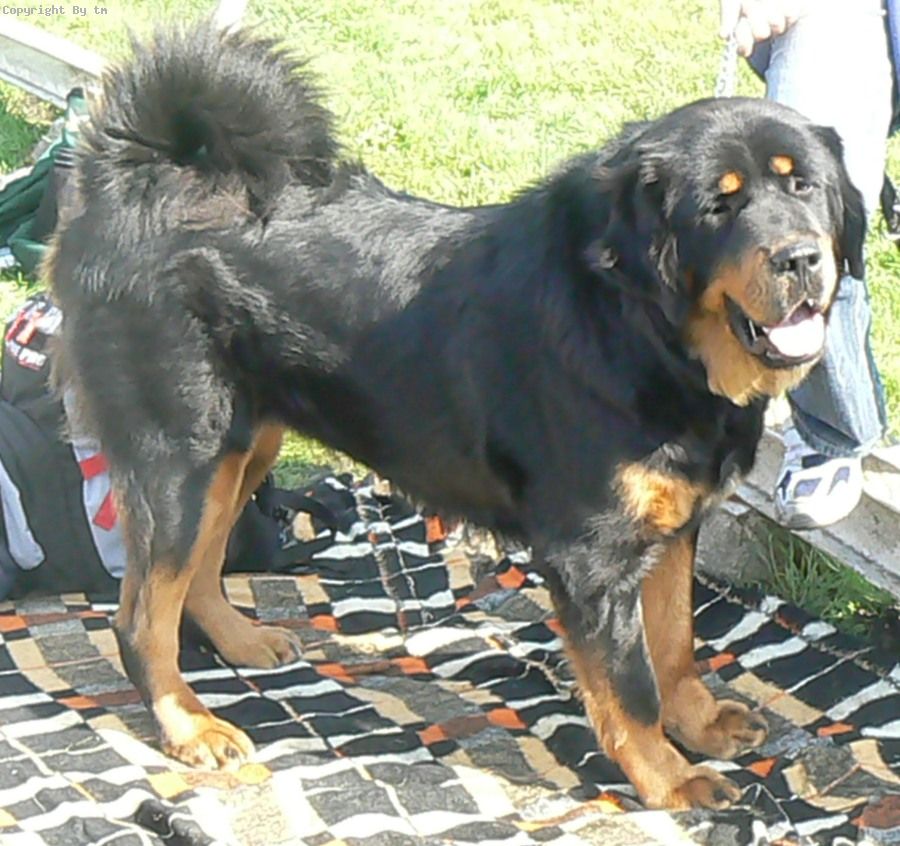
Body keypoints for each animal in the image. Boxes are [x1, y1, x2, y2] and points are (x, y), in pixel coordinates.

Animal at [47, 24, 864, 809]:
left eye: (805, 186)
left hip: (241, 449)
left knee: (200, 571)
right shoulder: (593, 556)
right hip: (181, 455)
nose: (800, 258)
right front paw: (669, 778)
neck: (642, 327)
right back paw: (189, 726)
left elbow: (675, 642)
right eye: (719, 206)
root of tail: (140, 176)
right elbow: (631, 683)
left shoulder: (672, 526)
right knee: (140, 614)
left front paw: (698, 722)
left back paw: (241, 644)